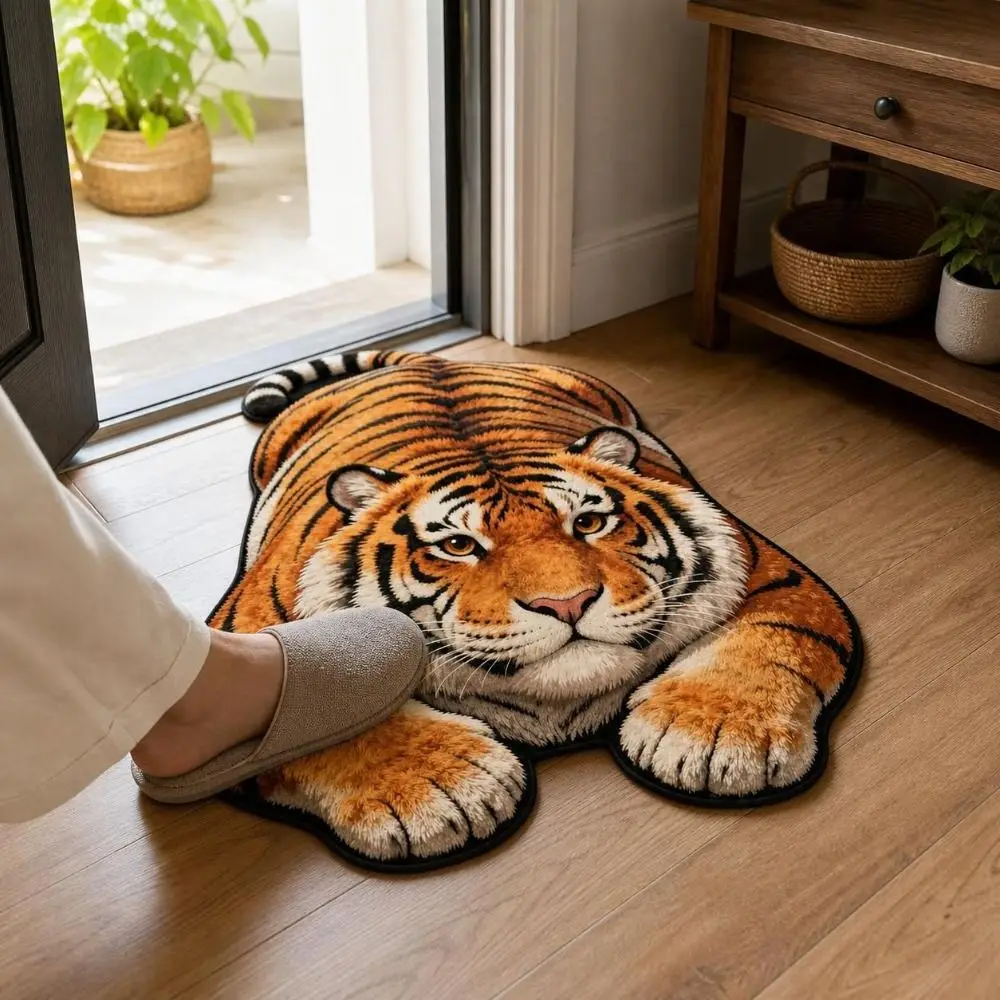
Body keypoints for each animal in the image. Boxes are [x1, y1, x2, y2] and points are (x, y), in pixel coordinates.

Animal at [212, 350, 860, 867]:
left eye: (590, 523)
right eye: (458, 545)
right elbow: (314, 707)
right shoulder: (260, 630)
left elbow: (766, 642)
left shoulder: (769, 574)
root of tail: (429, 357)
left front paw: (713, 739)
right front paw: (438, 792)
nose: (566, 603)